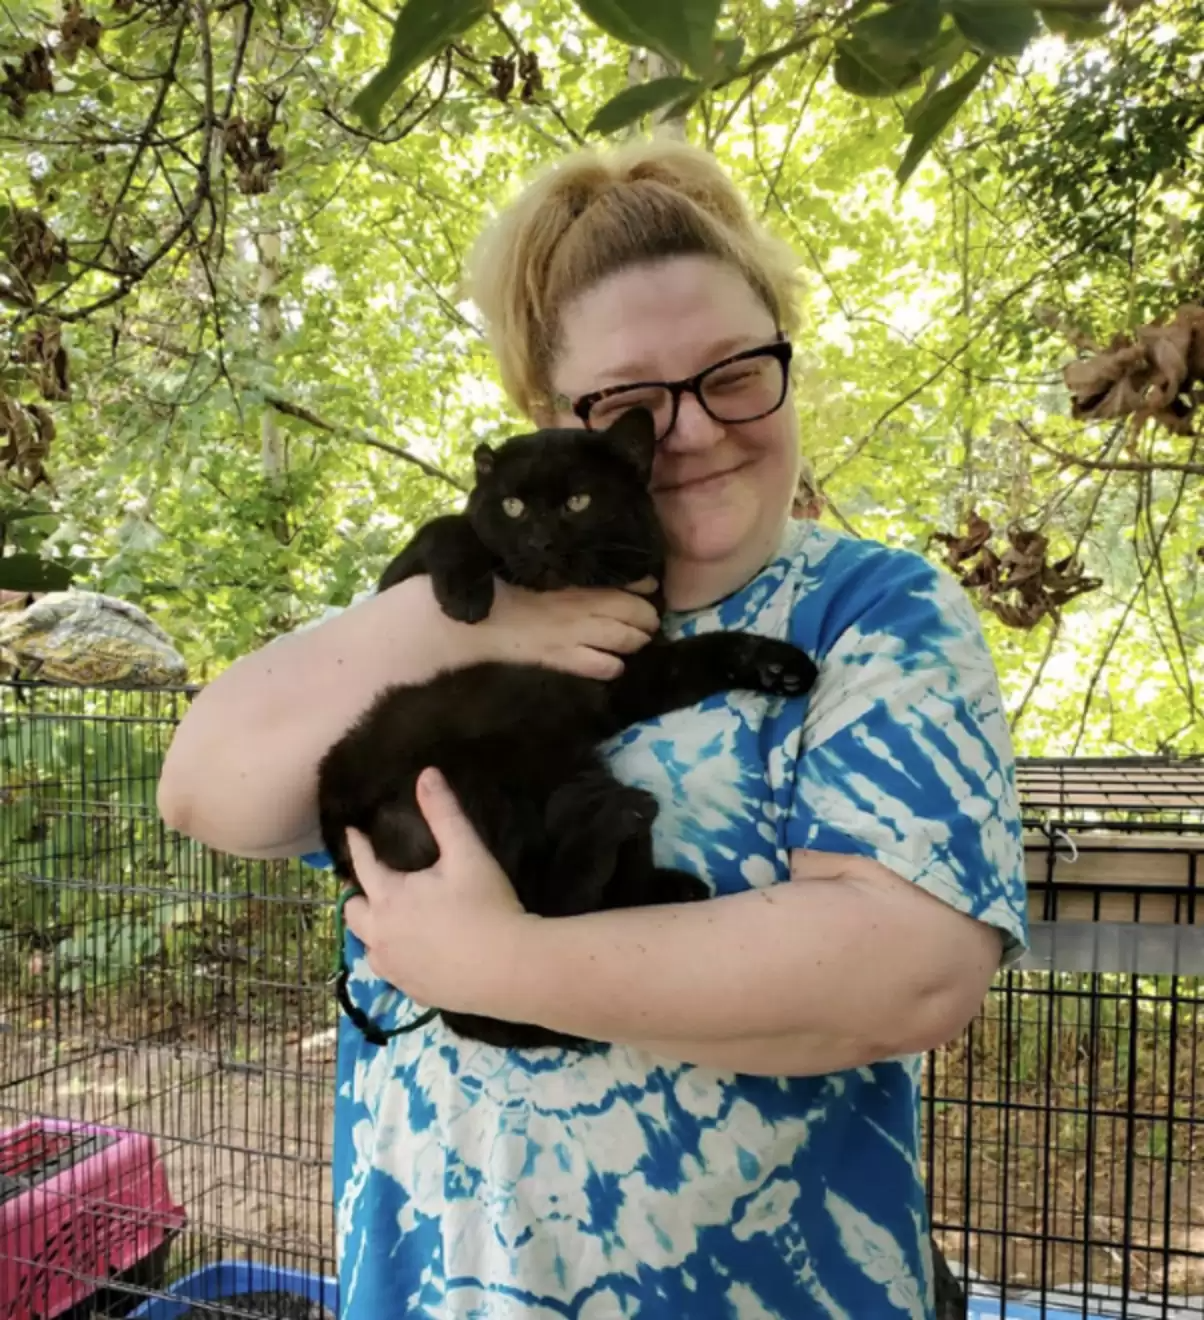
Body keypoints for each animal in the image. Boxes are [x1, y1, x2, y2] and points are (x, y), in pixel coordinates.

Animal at [315, 409, 818, 1050]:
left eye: (578, 501)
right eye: (511, 507)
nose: (541, 541)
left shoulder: (624, 676)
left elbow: (704, 652)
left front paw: (778, 665)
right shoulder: (394, 587)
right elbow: (447, 526)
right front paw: (468, 595)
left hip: (562, 771)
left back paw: (648, 859)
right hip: (469, 794)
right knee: (523, 935)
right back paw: (616, 826)